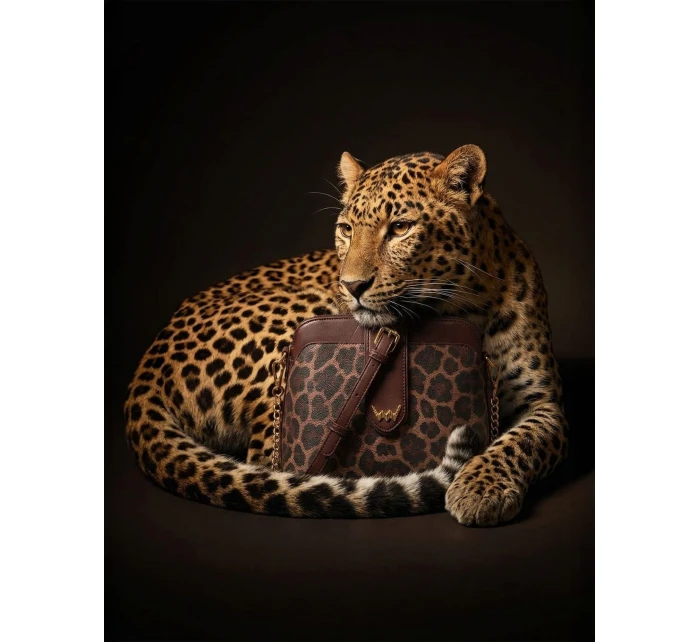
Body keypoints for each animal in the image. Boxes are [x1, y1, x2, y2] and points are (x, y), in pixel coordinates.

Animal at [124, 144, 568, 526]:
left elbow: (520, 441)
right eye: (346, 229)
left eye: (401, 228)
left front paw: (479, 488)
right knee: (265, 459)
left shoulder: (544, 403)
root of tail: (149, 363)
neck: (466, 307)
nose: (351, 285)